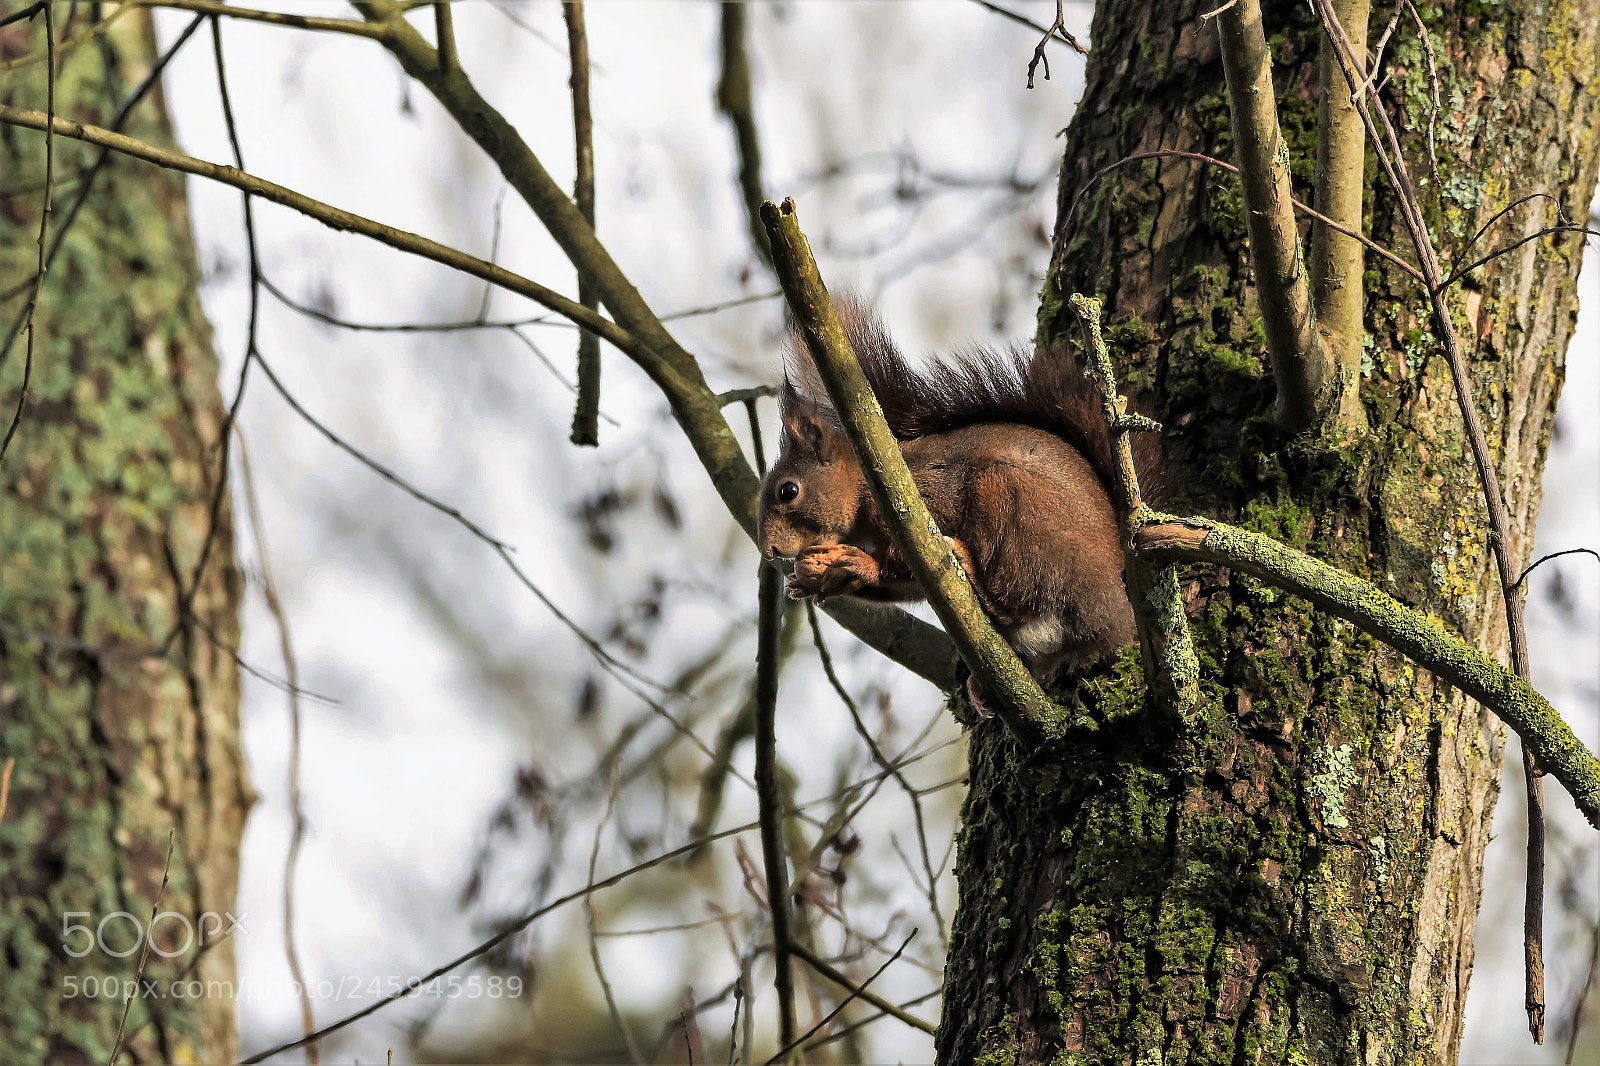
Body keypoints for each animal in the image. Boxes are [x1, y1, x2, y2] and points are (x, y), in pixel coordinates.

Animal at [757, 296, 1171, 703]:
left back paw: (976, 578)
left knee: (1020, 604)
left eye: (788, 491)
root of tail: (1114, 610)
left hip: (1012, 508)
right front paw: (822, 579)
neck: (865, 487)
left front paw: (855, 563)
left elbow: (909, 565)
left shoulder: (930, 497)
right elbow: (905, 586)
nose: (770, 550)